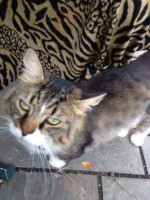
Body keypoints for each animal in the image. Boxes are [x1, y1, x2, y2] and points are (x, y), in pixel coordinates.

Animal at [3, 48, 150, 169]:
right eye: (24, 105)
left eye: (53, 121)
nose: (24, 132)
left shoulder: (81, 145)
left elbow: (62, 155)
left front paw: (55, 162)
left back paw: (137, 138)